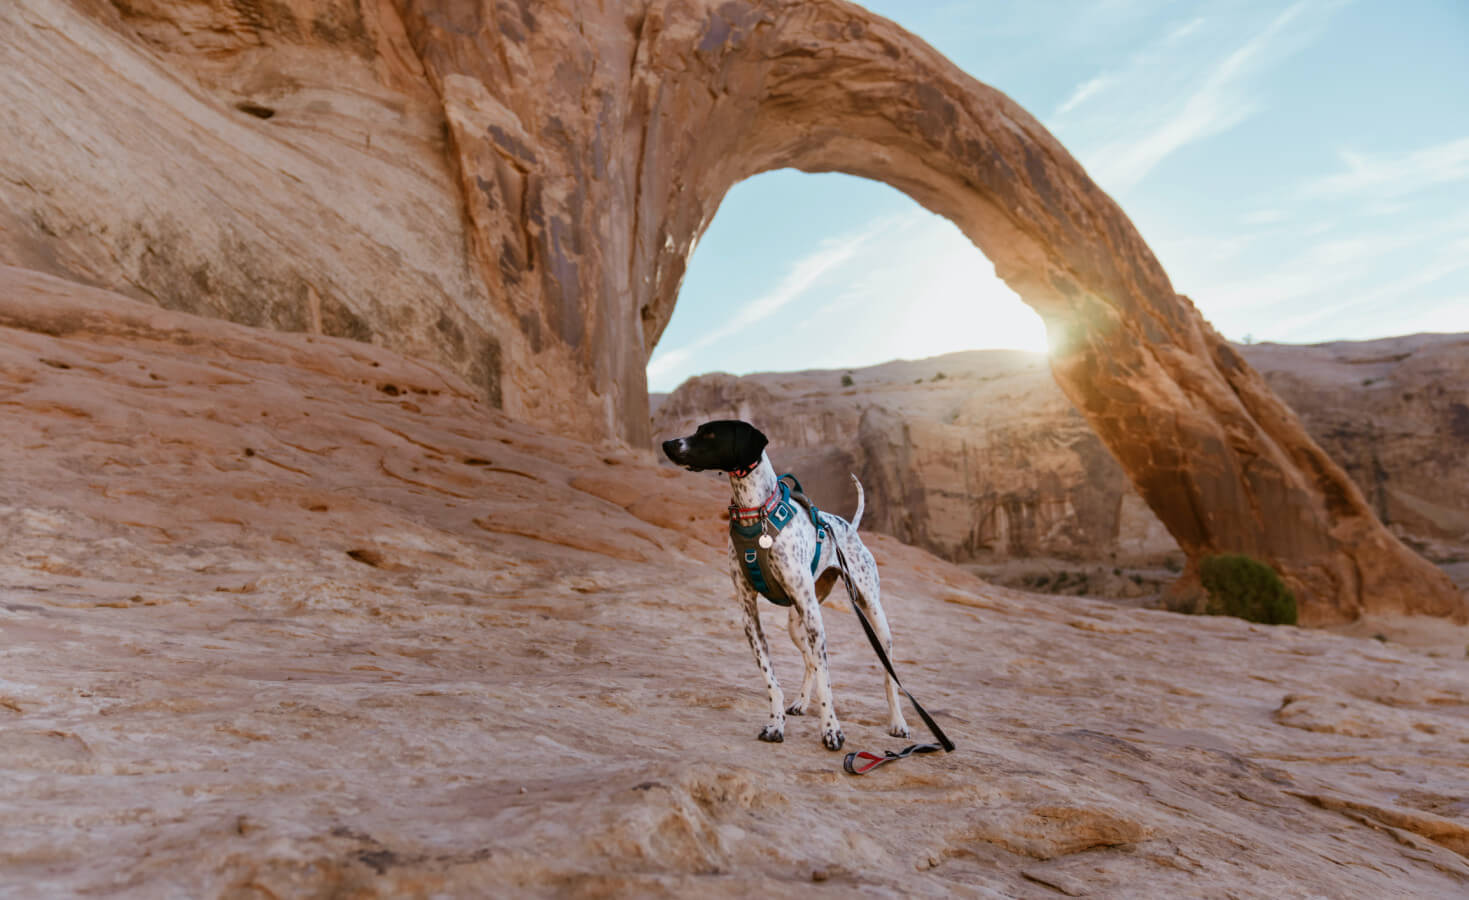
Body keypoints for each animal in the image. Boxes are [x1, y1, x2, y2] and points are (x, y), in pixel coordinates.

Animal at [663, 416, 904, 748]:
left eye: (709, 434)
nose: (667, 444)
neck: (756, 514)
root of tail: (849, 528)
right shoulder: (749, 612)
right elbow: (772, 680)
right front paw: (776, 724)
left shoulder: (813, 616)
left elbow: (827, 681)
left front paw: (832, 730)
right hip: (797, 623)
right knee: (810, 662)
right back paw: (801, 702)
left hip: (872, 617)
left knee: (887, 674)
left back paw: (898, 722)